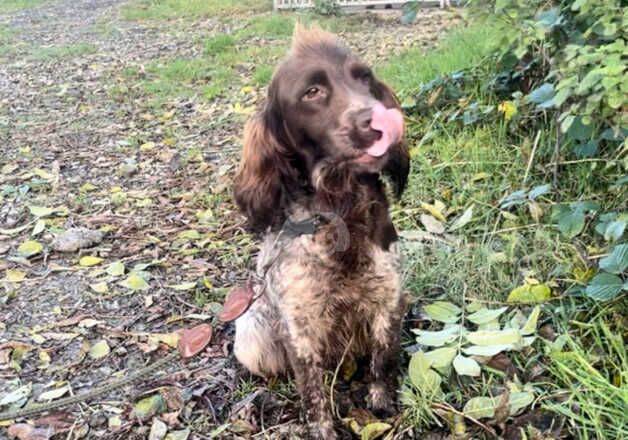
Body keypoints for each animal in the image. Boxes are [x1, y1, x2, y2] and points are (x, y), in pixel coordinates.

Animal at [231, 25, 408, 438]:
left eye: (364, 78)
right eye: (312, 92)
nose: (377, 119)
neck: (341, 207)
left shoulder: (388, 298)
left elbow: (383, 360)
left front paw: (382, 402)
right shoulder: (300, 324)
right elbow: (311, 390)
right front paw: (322, 428)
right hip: (250, 335)